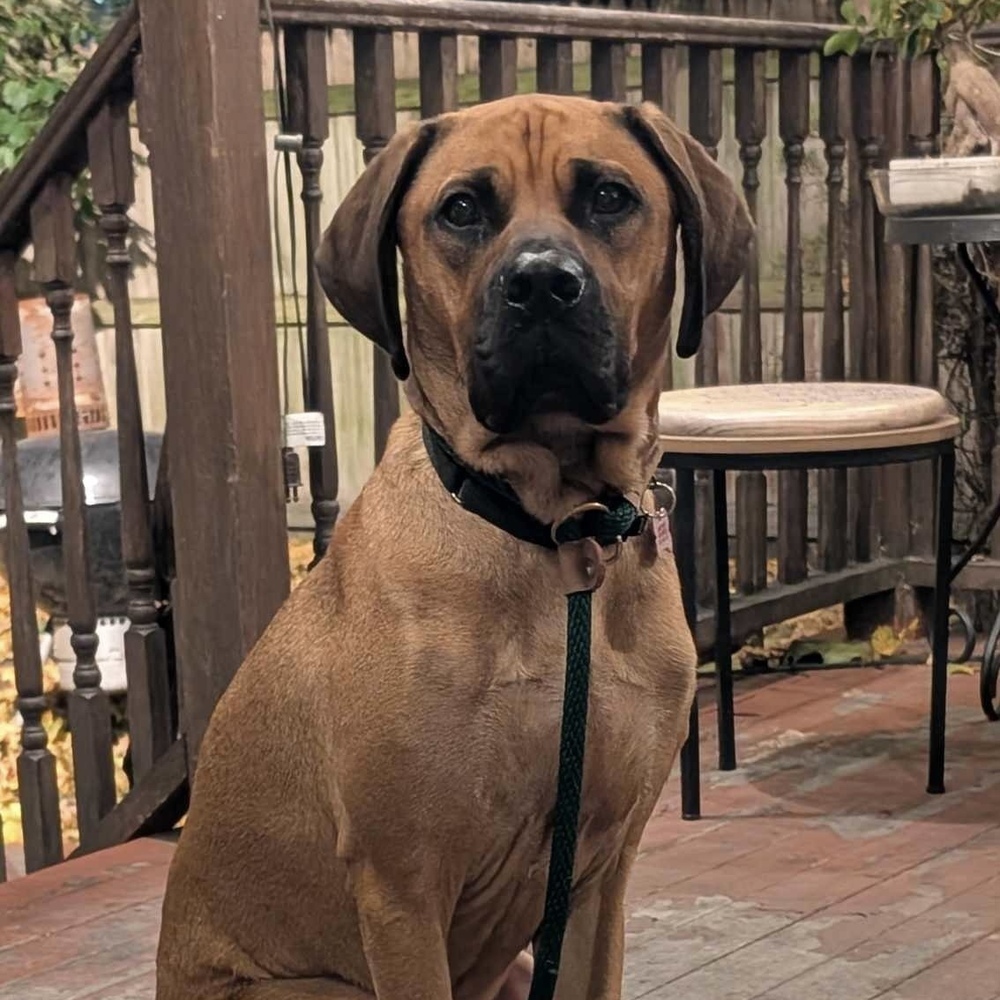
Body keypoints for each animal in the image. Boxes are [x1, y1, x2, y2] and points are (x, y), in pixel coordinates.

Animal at [156, 95, 752, 1000]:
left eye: (609, 197)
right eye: (462, 209)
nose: (541, 283)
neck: (556, 534)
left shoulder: (598, 875)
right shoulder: (402, 887)